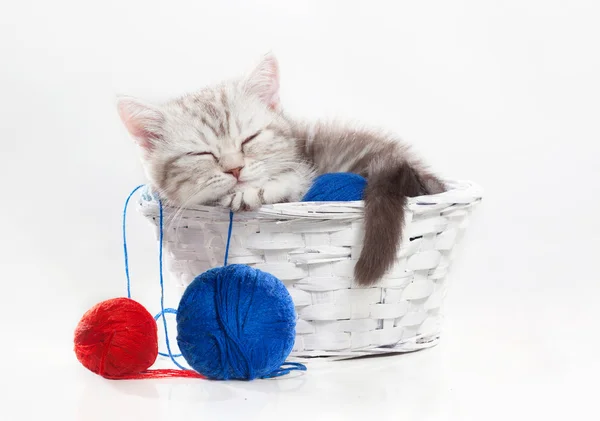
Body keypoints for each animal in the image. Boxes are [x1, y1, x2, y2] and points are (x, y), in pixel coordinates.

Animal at [117, 54, 446, 286]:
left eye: (249, 139)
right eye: (201, 153)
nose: (235, 169)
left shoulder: (305, 175)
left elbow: (293, 180)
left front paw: (259, 189)